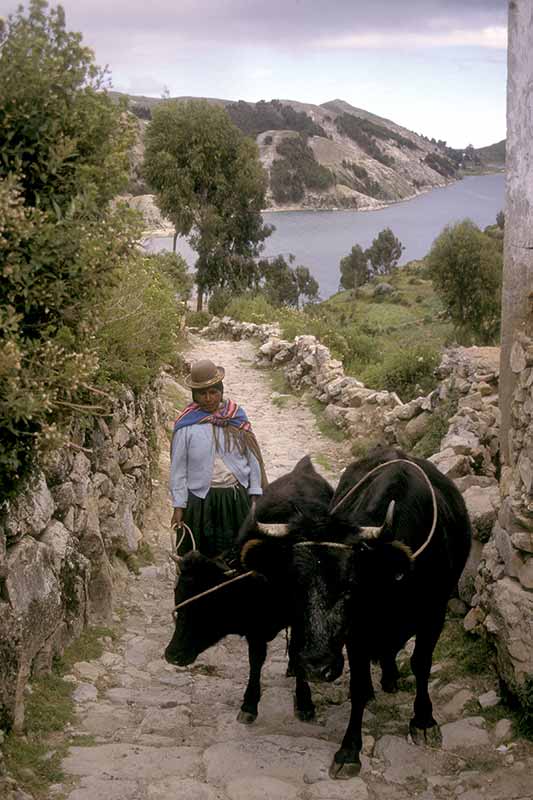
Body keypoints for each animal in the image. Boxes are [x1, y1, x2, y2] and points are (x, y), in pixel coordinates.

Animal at [165, 456, 332, 724]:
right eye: (178, 599)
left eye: (205, 605)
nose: (172, 655)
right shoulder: (255, 626)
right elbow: (256, 660)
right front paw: (249, 705)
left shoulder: (299, 617)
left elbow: (297, 650)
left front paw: (305, 703)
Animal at [241, 446, 470, 780]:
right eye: (296, 587)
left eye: (351, 586)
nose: (316, 667)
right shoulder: (358, 630)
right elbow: (358, 685)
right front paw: (349, 751)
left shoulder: (433, 613)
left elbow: (421, 664)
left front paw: (424, 721)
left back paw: (390, 678)